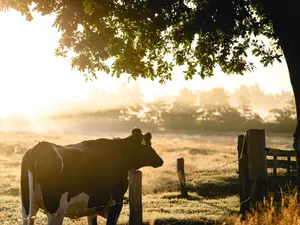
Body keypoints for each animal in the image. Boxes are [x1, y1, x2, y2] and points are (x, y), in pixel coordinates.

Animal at [20, 128, 164, 225]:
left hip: (27, 206)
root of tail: (40, 146)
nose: (160, 160)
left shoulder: (93, 206)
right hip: (56, 210)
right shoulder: (116, 202)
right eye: (148, 145)